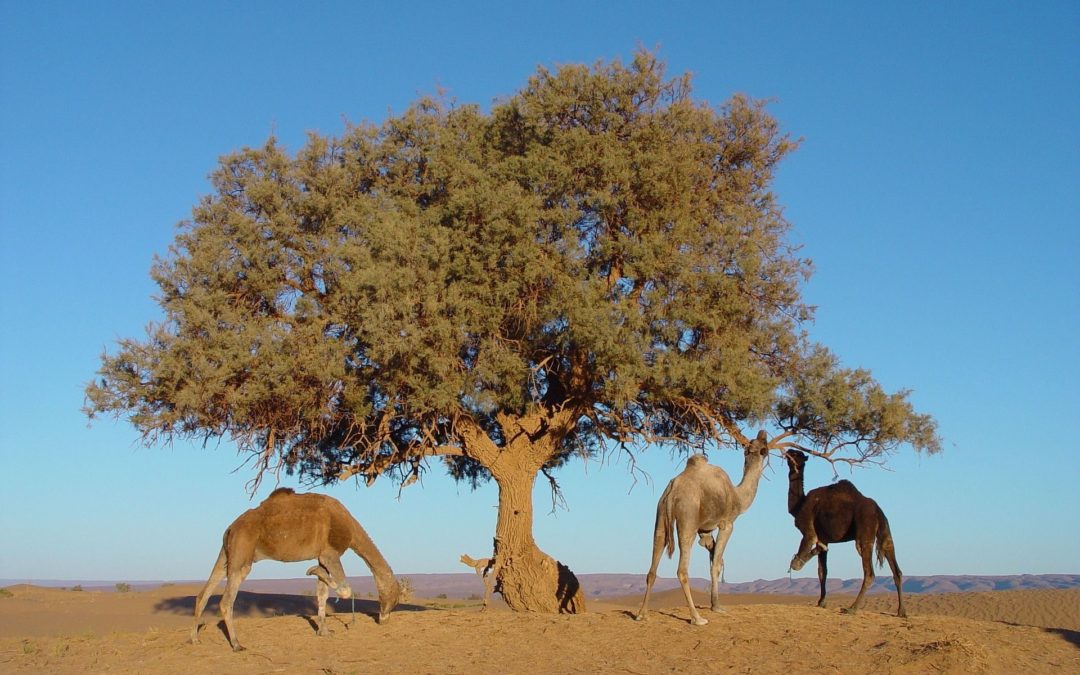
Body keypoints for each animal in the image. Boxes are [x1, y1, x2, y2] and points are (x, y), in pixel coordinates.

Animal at [190, 486, 401, 652]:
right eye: (394, 598)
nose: (384, 619)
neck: (349, 527)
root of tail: (231, 528)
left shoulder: (322, 555)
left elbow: (322, 593)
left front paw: (324, 631)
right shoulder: (330, 553)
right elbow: (345, 589)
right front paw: (311, 571)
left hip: (227, 554)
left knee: (204, 594)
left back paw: (194, 638)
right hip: (242, 553)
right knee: (226, 601)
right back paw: (236, 644)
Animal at [635, 432, 773, 626]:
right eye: (765, 448)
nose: (763, 433)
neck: (738, 497)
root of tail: (673, 490)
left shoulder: (705, 531)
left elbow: (713, 557)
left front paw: (715, 603)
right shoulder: (726, 524)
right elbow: (716, 564)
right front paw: (717, 607)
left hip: (660, 516)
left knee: (653, 565)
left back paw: (642, 614)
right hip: (688, 517)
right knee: (682, 569)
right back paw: (697, 618)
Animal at [781, 449, 907, 617]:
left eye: (795, 454)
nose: (787, 451)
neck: (799, 505)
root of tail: (878, 511)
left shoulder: (809, 529)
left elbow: (810, 544)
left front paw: (796, 563)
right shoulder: (824, 537)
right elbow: (822, 571)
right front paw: (821, 602)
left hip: (864, 531)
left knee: (869, 572)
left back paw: (852, 608)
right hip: (885, 531)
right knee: (895, 567)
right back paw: (901, 611)